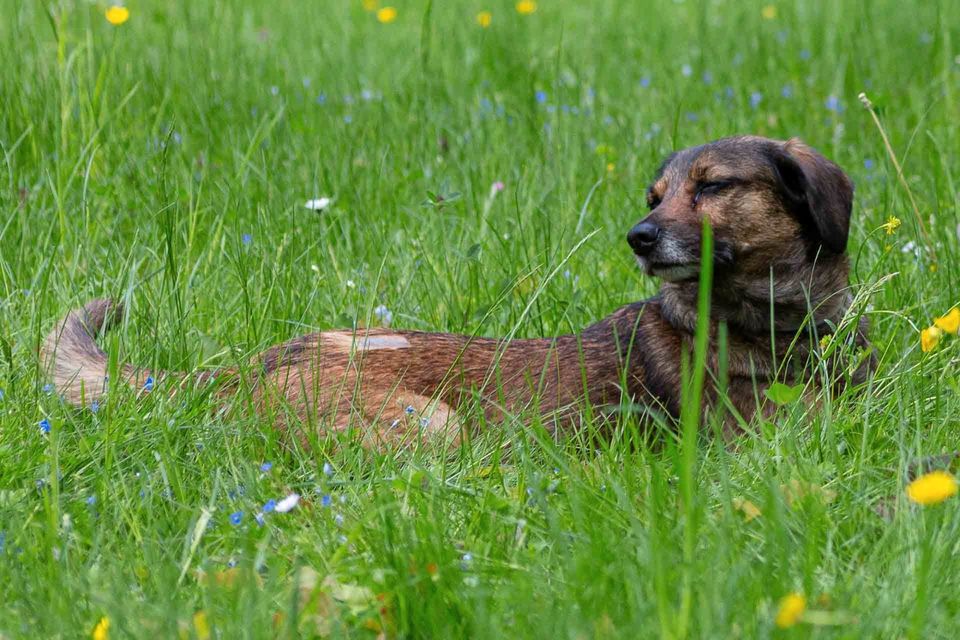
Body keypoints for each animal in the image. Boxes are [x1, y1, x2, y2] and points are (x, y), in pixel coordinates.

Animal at [41, 135, 872, 444]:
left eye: (714, 186)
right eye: (656, 195)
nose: (638, 237)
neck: (773, 323)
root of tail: (243, 369)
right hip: (434, 422)